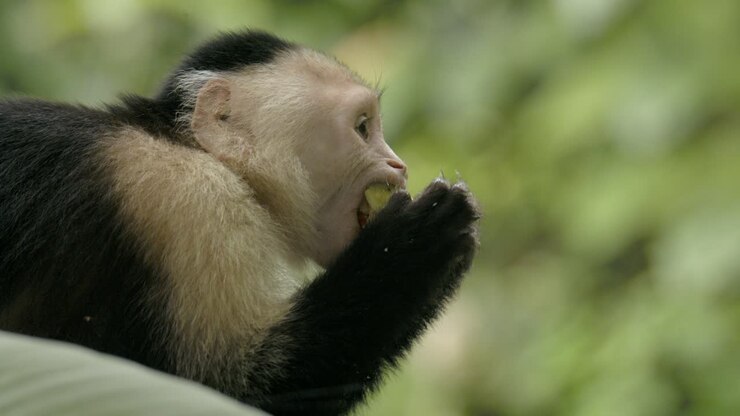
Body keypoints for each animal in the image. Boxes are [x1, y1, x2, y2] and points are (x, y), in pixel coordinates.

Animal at [0, 30, 479, 415]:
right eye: (363, 128)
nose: (399, 165)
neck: (188, 146)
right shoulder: (190, 200)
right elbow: (229, 386)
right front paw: (418, 244)